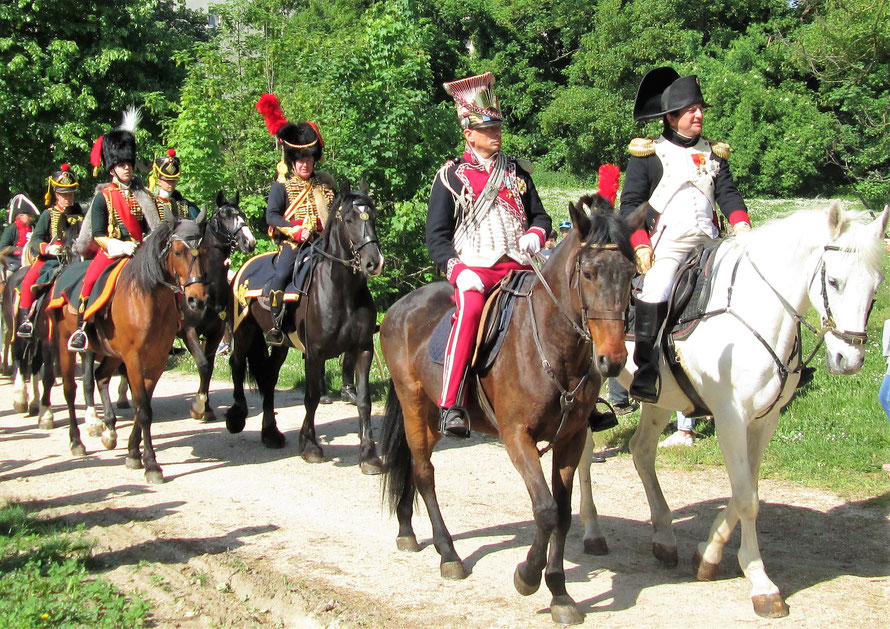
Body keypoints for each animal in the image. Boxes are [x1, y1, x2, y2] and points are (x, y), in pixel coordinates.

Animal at [50, 213, 212, 484]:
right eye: (178, 252)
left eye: (204, 251)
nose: (196, 300)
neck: (147, 296)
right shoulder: (134, 359)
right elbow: (144, 410)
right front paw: (152, 464)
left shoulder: (156, 360)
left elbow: (141, 405)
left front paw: (134, 453)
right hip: (67, 346)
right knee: (71, 389)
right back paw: (77, 440)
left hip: (112, 354)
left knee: (101, 376)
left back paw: (109, 431)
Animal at [224, 182, 384, 472]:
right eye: (349, 219)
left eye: (373, 217)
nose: (373, 262)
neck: (342, 293)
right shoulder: (314, 353)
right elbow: (311, 397)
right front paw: (309, 446)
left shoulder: (363, 349)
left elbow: (364, 401)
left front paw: (368, 454)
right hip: (243, 332)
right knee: (238, 366)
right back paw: (237, 416)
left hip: (280, 345)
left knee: (268, 378)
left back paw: (270, 433)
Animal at [378, 195, 640, 624]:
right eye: (588, 273)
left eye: (631, 273)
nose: (613, 360)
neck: (552, 345)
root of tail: (400, 307)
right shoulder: (518, 437)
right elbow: (545, 509)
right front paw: (528, 576)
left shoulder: (570, 439)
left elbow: (562, 513)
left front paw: (560, 593)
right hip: (413, 403)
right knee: (424, 473)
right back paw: (448, 554)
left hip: (431, 415)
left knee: (415, 467)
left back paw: (407, 530)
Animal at [572, 202, 884, 620]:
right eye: (833, 281)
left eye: (876, 285)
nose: (848, 359)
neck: (756, 309)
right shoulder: (730, 418)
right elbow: (746, 498)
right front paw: (761, 583)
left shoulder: (765, 421)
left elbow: (746, 491)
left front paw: (708, 554)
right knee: (585, 455)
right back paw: (593, 531)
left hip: (660, 398)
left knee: (641, 452)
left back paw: (664, 536)